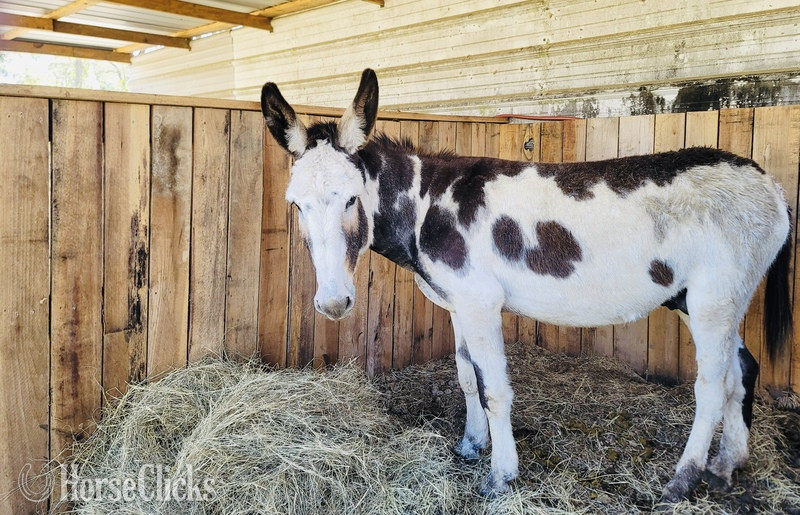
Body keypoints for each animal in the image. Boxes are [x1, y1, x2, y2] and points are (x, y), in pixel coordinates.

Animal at [259, 69, 792, 502]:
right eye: (295, 205)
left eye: (352, 199)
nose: (333, 303)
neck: (426, 203)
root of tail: (770, 184)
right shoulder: (459, 304)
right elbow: (466, 377)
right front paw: (472, 445)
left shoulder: (480, 303)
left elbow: (494, 389)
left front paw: (501, 476)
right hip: (707, 299)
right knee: (742, 369)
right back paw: (725, 467)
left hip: (711, 299)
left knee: (711, 385)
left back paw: (682, 481)